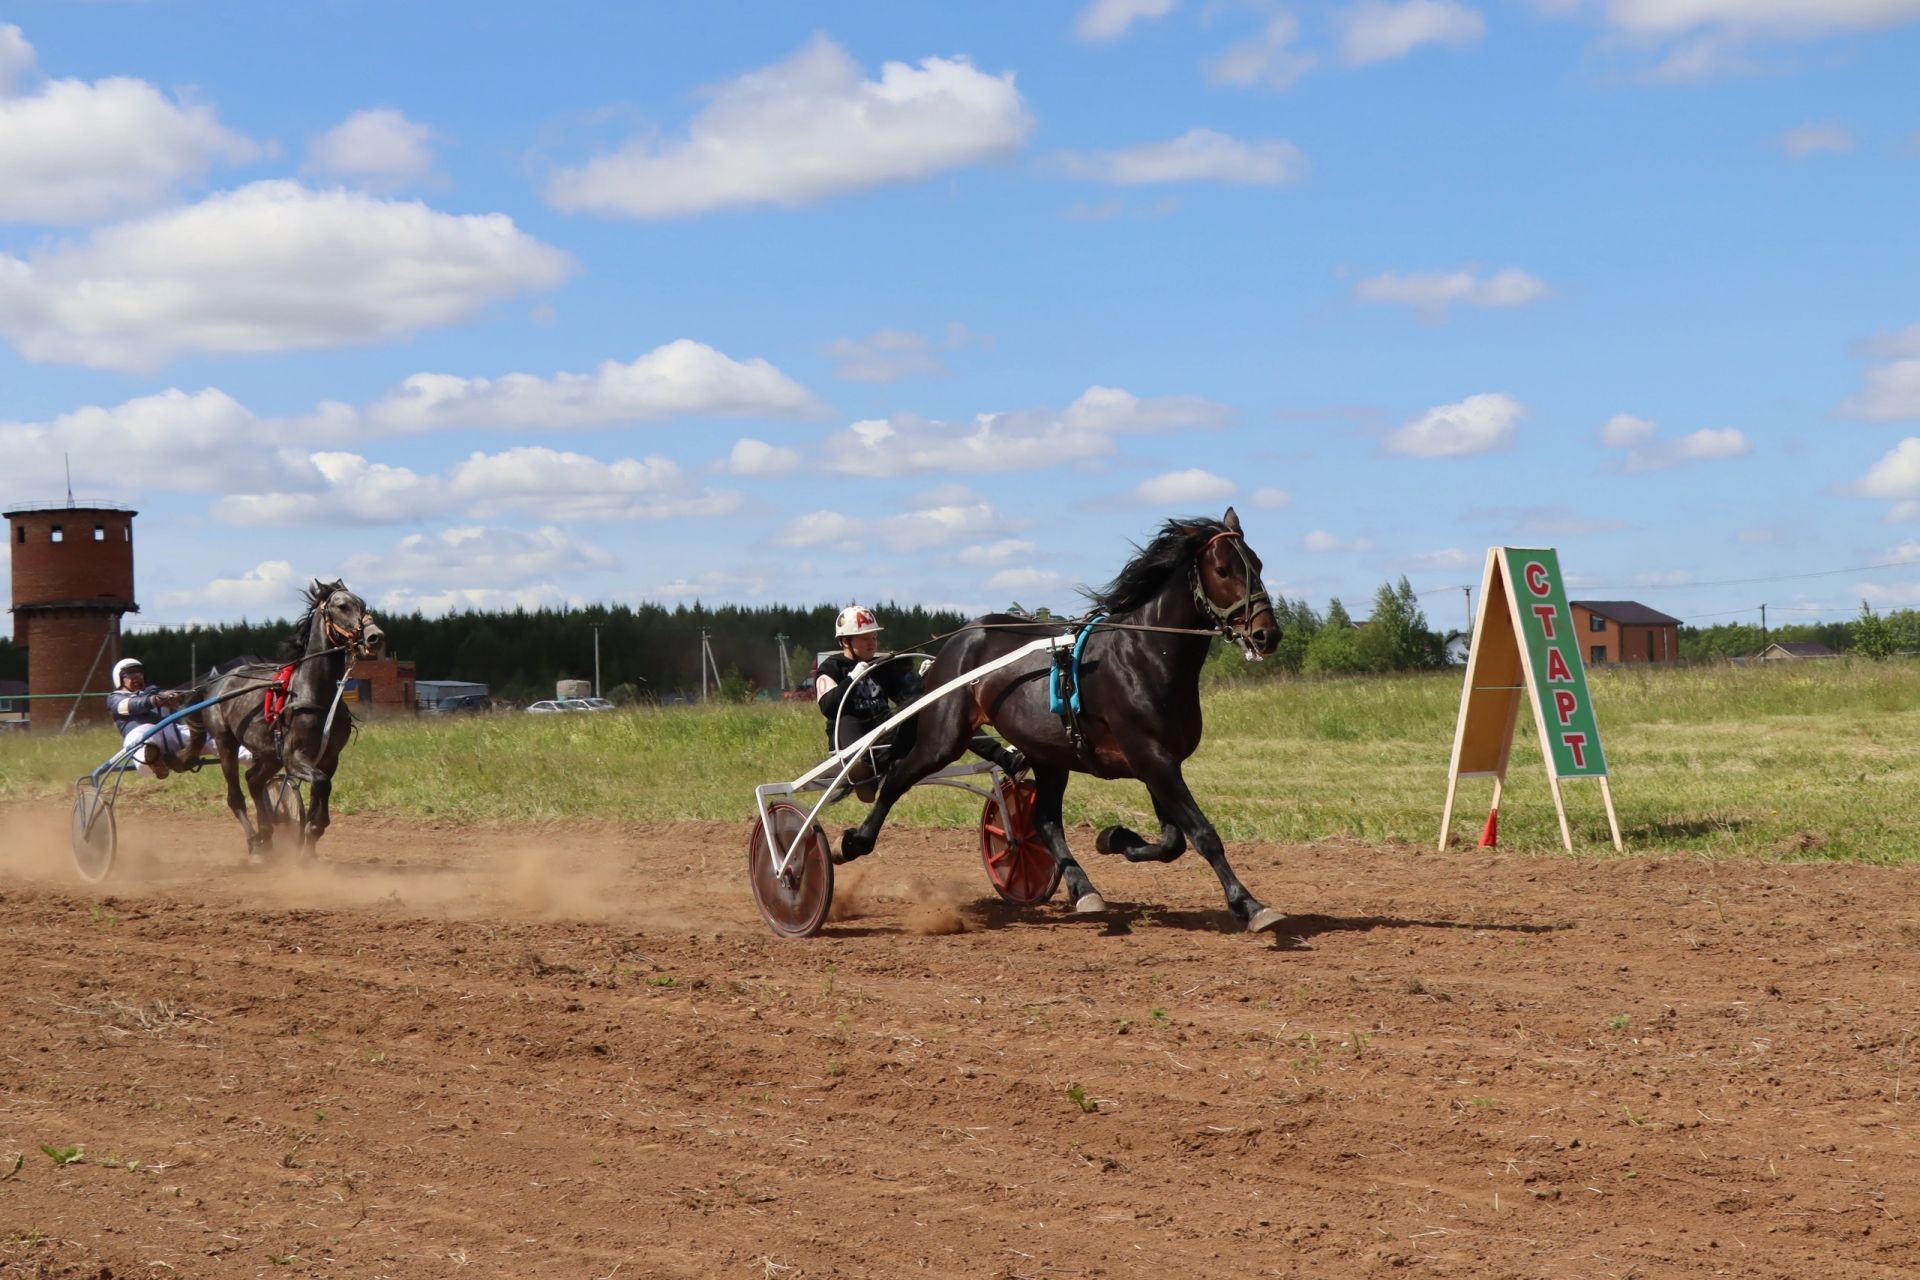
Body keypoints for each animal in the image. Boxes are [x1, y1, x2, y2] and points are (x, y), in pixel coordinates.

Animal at [186, 587, 382, 867]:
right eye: (342, 606)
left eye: (362, 604)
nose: (375, 637)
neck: (313, 693)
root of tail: (217, 682)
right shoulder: (294, 758)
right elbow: (321, 784)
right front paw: (310, 834)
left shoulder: (329, 757)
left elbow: (320, 791)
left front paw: (310, 845)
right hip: (226, 744)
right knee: (236, 796)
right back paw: (255, 844)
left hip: (270, 755)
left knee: (254, 780)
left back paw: (267, 834)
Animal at [844, 506, 1282, 936]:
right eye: (1223, 569)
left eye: (1258, 563)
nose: (1267, 634)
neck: (1145, 654)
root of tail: (956, 642)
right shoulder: (1151, 757)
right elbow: (1203, 834)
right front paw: (1250, 905)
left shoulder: (1160, 762)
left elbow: (1173, 841)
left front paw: (1114, 837)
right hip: (944, 736)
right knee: (897, 777)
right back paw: (854, 842)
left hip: (1048, 754)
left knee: (1045, 822)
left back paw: (1084, 890)